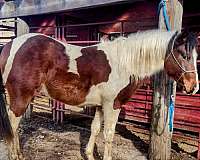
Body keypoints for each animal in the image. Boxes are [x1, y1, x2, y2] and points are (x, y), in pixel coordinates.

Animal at [0, 29, 198, 160]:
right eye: (184, 55)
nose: (193, 87)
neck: (124, 64)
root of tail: (9, 46)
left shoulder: (100, 106)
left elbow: (95, 129)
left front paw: (89, 154)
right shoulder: (113, 105)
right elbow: (108, 134)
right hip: (20, 98)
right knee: (12, 125)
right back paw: (14, 156)